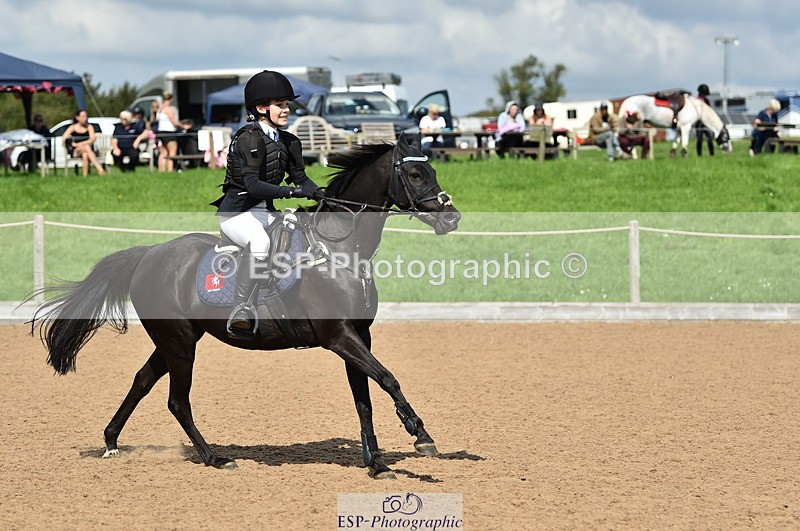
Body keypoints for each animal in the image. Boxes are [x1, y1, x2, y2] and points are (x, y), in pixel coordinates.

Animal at [30, 133, 461, 480]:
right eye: (416, 175)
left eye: (432, 170)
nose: (452, 217)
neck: (341, 250)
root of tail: (149, 254)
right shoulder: (338, 336)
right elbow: (387, 379)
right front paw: (420, 433)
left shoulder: (358, 336)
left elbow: (364, 400)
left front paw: (376, 463)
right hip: (179, 342)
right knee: (177, 401)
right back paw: (214, 458)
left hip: (173, 339)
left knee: (142, 381)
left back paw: (111, 441)